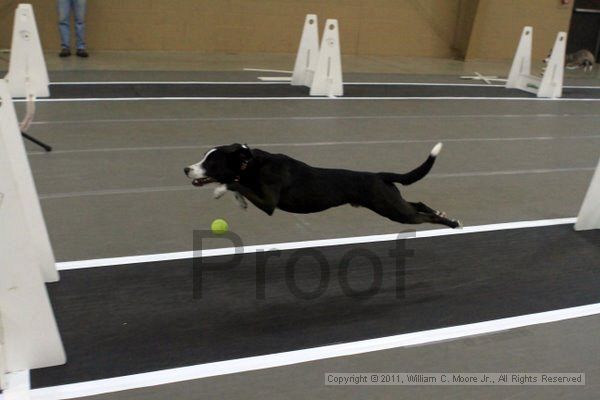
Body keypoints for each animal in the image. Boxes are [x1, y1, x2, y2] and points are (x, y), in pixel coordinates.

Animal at [185, 143, 462, 228]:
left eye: (211, 163)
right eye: (203, 156)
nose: (186, 169)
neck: (250, 163)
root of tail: (379, 175)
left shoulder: (269, 203)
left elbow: (235, 185)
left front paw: (220, 190)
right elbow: (239, 186)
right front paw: (237, 201)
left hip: (393, 210)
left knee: (421, 216)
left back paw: (450, 223)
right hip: (392, 201)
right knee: (418, 203)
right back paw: (444, 214)